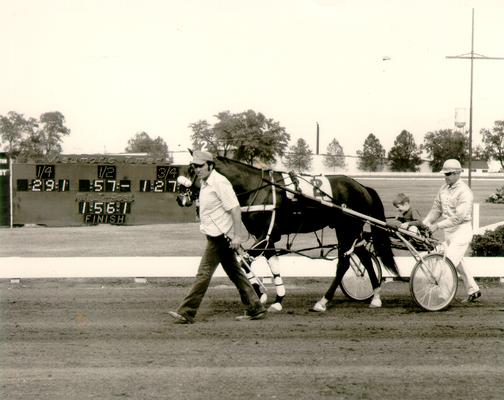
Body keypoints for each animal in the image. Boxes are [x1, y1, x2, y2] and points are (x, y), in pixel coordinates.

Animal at [176, 156, 398, 312]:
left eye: (192, 169)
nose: (180, 197)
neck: (257, 188)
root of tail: (361, 186)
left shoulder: (265, 237)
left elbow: (243, 262)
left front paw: (260, 292)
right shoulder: (269, 239)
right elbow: (271, 265)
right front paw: (277, 299)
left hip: (347, 229)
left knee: (344, 263)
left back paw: (323, 301)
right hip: (350, 231)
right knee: (364, 257)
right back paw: (375, 297)